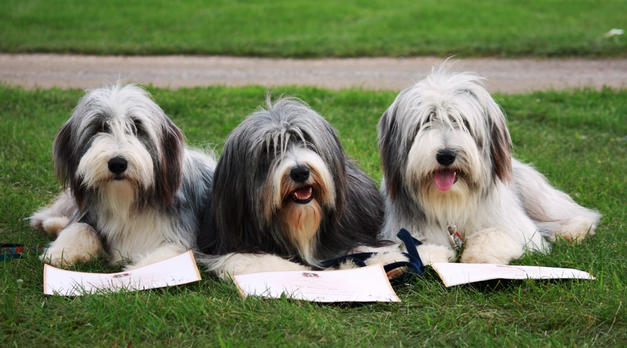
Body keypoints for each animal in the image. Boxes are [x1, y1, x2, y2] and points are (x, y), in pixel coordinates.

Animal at [30, 84, 217, 270]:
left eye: (137, 127)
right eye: (100, 127)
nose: (117, 164)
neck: (125, 200)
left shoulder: (180, 237)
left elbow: (163, 259)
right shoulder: (88, 213)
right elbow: (81, 226)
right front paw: (59, 252)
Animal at [195, 98, 408, 280]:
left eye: (306, 139)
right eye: (268, 149)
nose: (300, 172)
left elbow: (364, 246)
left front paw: (387, 259)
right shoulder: (232, 241)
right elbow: (255, 261)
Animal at [378, 67, 604, 264]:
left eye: (463, 122)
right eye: (426, 121)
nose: (446, 155)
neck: (450, 200)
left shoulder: (513, 225)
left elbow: (496, 233)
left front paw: (479, 256)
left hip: (535, 194)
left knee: (575, 212)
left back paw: (574, 229)